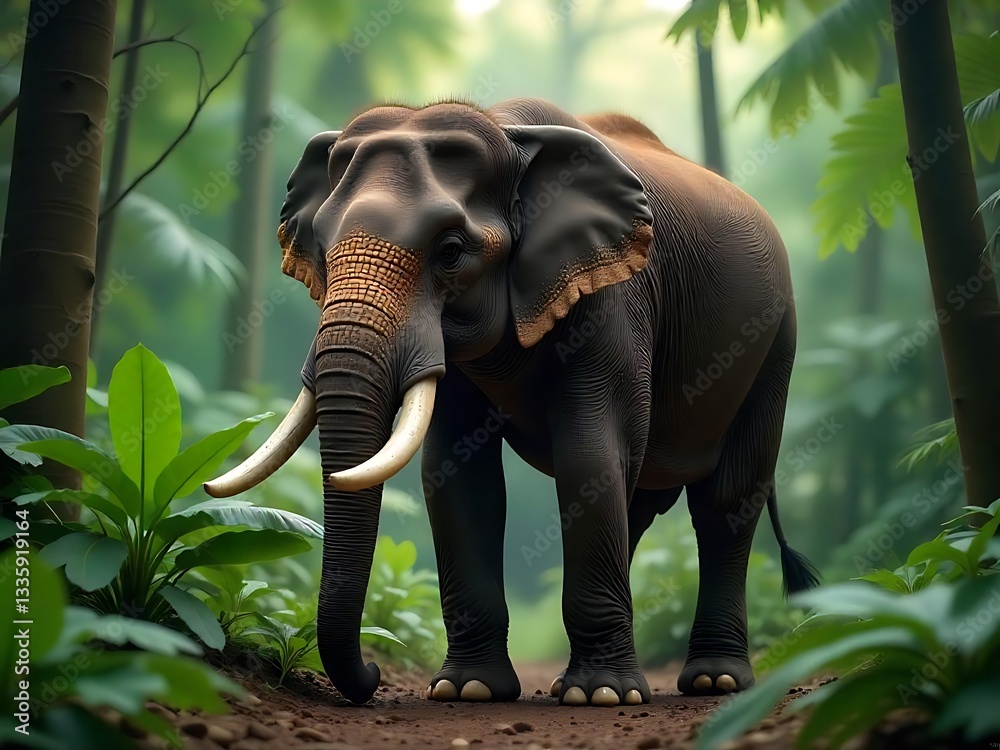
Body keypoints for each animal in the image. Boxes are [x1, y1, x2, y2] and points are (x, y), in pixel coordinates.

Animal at [205, 97, 819, 708]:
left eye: (451, 252)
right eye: (322, 251)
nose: (374, 677)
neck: (507, 131)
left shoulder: (613, 295)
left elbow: (589, 456)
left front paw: (600, 696)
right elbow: (457, 473)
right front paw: (467, 690)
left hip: (776, 338)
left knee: (726, 502)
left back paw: (714, 682)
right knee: (641, 501)